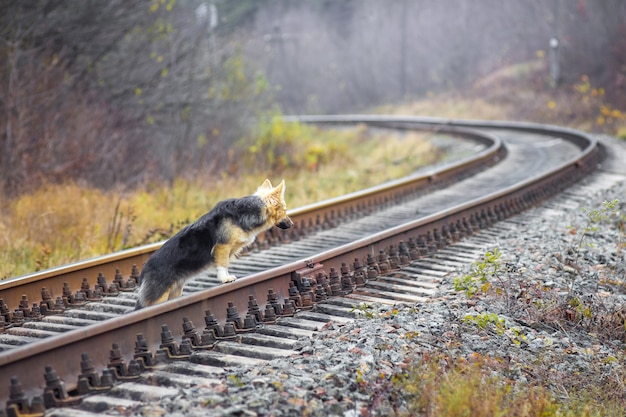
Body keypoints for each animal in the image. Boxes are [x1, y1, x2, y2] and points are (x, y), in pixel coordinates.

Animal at [133, 179, 292, 308]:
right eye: (284, 210)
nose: (292, 224)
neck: (246, 213)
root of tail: (145, 269)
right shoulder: (222, 247)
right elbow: (223, 265)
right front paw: (225, 279)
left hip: (174, 292)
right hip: (159, 297)